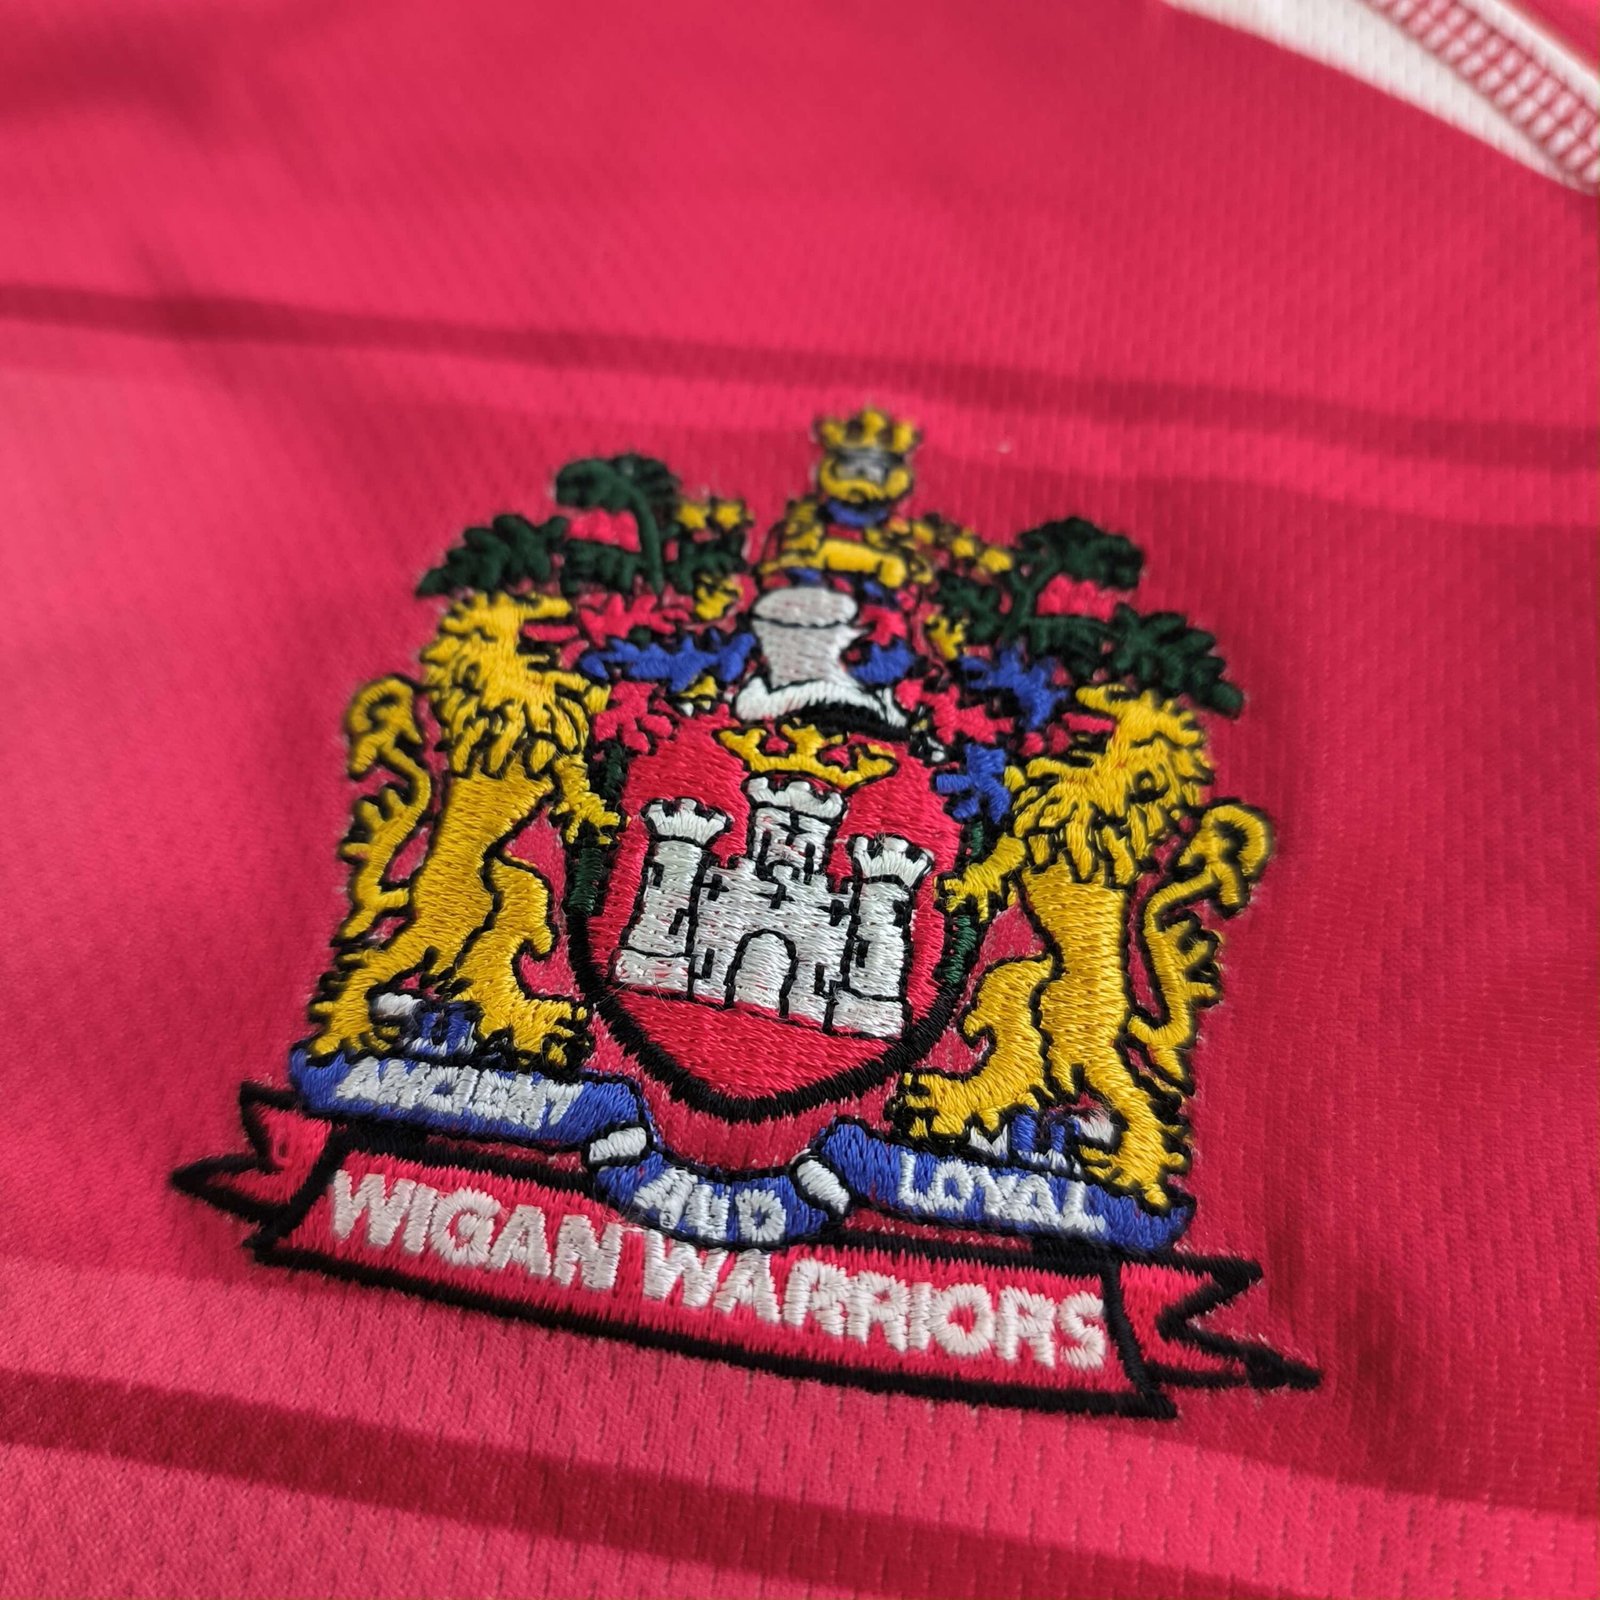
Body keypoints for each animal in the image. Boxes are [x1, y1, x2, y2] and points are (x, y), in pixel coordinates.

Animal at [308, 591, 618, 1068]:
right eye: (523, 600)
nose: (562, 603)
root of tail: (410, 887)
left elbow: (572, 765)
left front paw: (594, 813)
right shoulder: (525, 729)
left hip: (514, 888)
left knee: (491, 956)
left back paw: (537, 1024)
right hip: (450, 921)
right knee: (378, 962)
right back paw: (347, 1028)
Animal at [893, 683, 1270, 1209]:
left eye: (1145, 726)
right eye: (1120, 699)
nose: (1094, 690)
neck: (1109, 769)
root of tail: (1130, 1013)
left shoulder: (1066, 822)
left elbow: (1047, 817)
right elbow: (1008, 844)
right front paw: (968, 884)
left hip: (1075, 1029)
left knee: (1129, 1093)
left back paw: (1133, 1168)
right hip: (1021, 988)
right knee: (1017, 1057)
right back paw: (947, 1099)